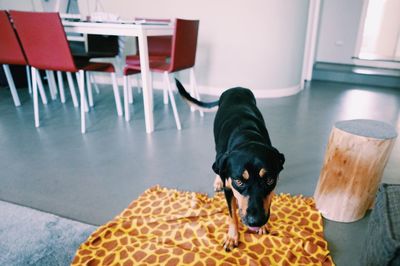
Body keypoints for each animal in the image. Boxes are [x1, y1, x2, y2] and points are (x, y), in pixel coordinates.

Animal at [175, 79, 284, 251]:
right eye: (238, 181)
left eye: (269, 180)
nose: (256, 221)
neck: (247, 137)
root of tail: (236, 88)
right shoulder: (229, 189)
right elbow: (232, 215)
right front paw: (232, 237)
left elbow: (268, 200)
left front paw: (262, 226)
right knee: (218, 165)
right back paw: (218, 179)